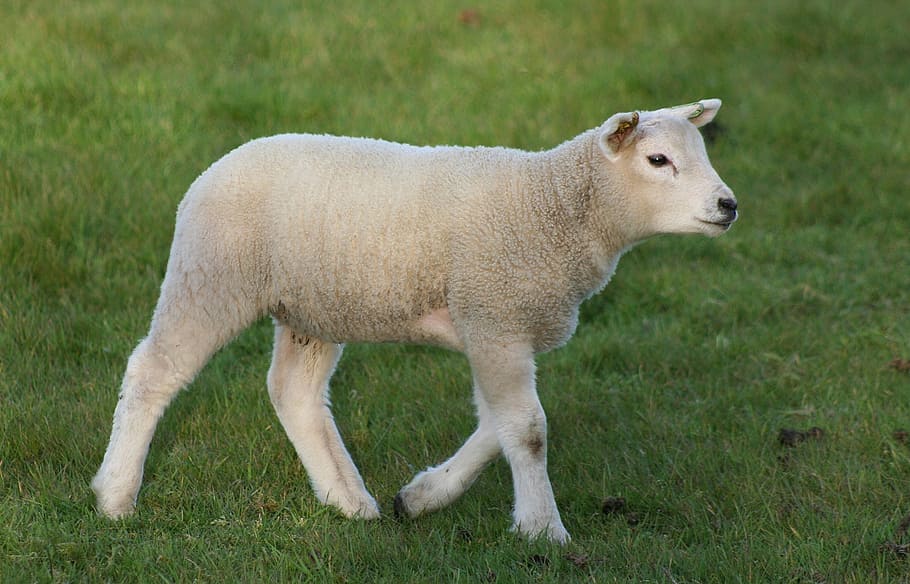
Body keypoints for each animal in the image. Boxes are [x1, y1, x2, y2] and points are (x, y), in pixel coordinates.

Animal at [92, 99, 737, 544]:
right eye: (658, 160)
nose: (729, 206)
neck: (553, 207)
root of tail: (216, 166)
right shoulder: (496, 318)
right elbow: (527, 429)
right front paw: (543, 529)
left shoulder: (494, 325)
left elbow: (498, 425)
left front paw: (423, 497)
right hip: (211, 276)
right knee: (153, 371)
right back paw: (115, 495)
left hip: (313, 307)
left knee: (293, 391)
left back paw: (349, 500)